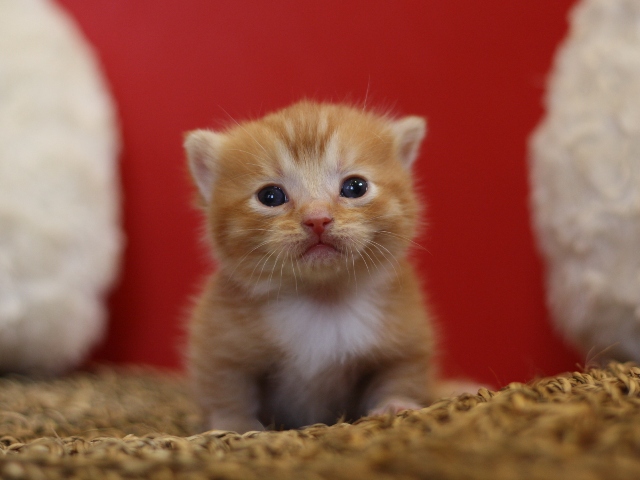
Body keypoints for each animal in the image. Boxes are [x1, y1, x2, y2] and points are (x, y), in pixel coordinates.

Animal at [182, 99, 438, 434]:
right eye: (270, 196)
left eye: (355, 187)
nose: (317, 219)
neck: (321, 295)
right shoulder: (219, 343)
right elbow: (227, 387)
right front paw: (235, 424)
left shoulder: (406, 336)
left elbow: (401, 374)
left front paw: (395, 404)